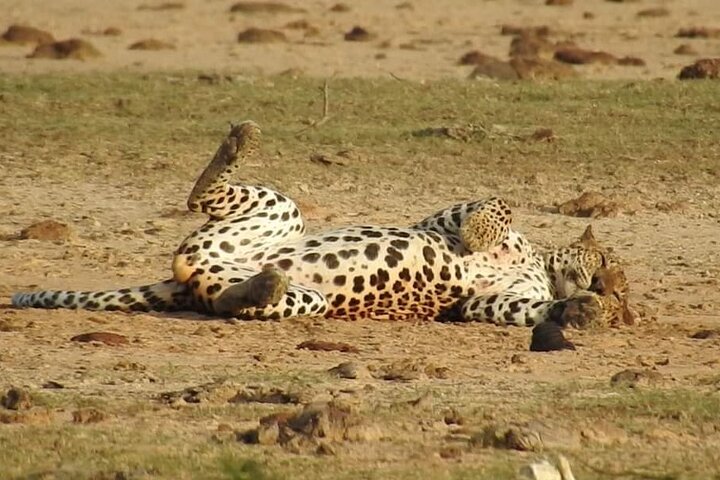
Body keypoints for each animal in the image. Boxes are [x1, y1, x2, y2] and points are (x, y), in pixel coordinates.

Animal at [11, 121, 624, 329]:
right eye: (609, 261)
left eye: (622, 290)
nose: (608, 288)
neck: (540, 265)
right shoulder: (442, 215)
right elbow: (495, 203)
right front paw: (481, 235)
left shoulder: (482, 305)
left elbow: (527, 308)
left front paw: (582, 312)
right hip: (283, 210)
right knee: (200, 197)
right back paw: (237, 142)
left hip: (304, 295)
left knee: (229, 298)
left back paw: (259, 283)